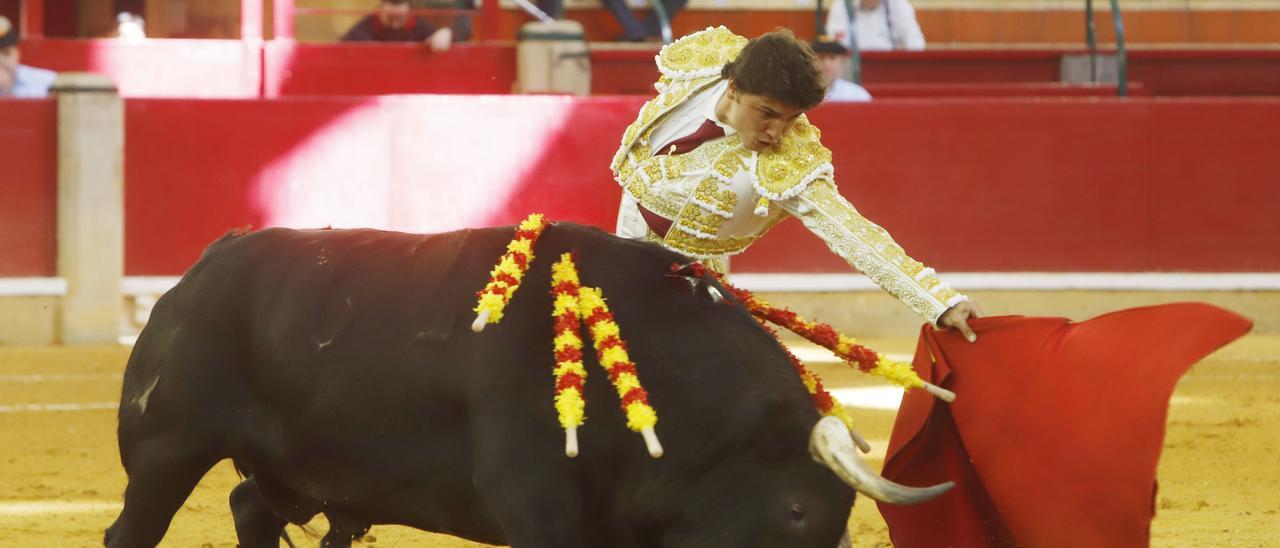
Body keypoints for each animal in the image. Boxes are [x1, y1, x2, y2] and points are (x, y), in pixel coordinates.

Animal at [107, 222, 952, 548]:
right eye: (797, 509)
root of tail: (212, 259)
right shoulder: (534, 500)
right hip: (167, 447)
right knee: (133, 529)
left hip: (290, 469)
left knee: (251, 506)